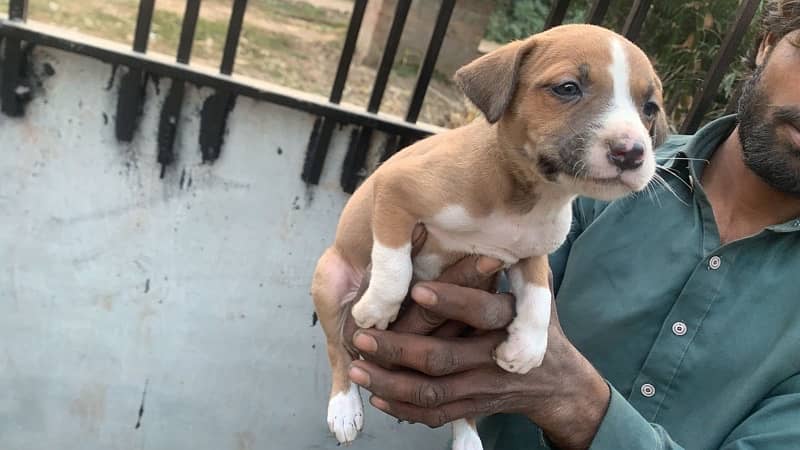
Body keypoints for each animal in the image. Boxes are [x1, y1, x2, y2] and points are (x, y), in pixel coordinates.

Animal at [312, 23, 668, 450]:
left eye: (650, 108)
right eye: (567, 88)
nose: (631, 153)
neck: (528, 194)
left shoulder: (532, 252)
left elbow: (539, 295)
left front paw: (527, 347)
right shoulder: (395, 191)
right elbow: (394, 265)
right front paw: (378, 308)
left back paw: (468, 437)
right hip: (330, 281)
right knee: (336, 348)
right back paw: (344, 406)